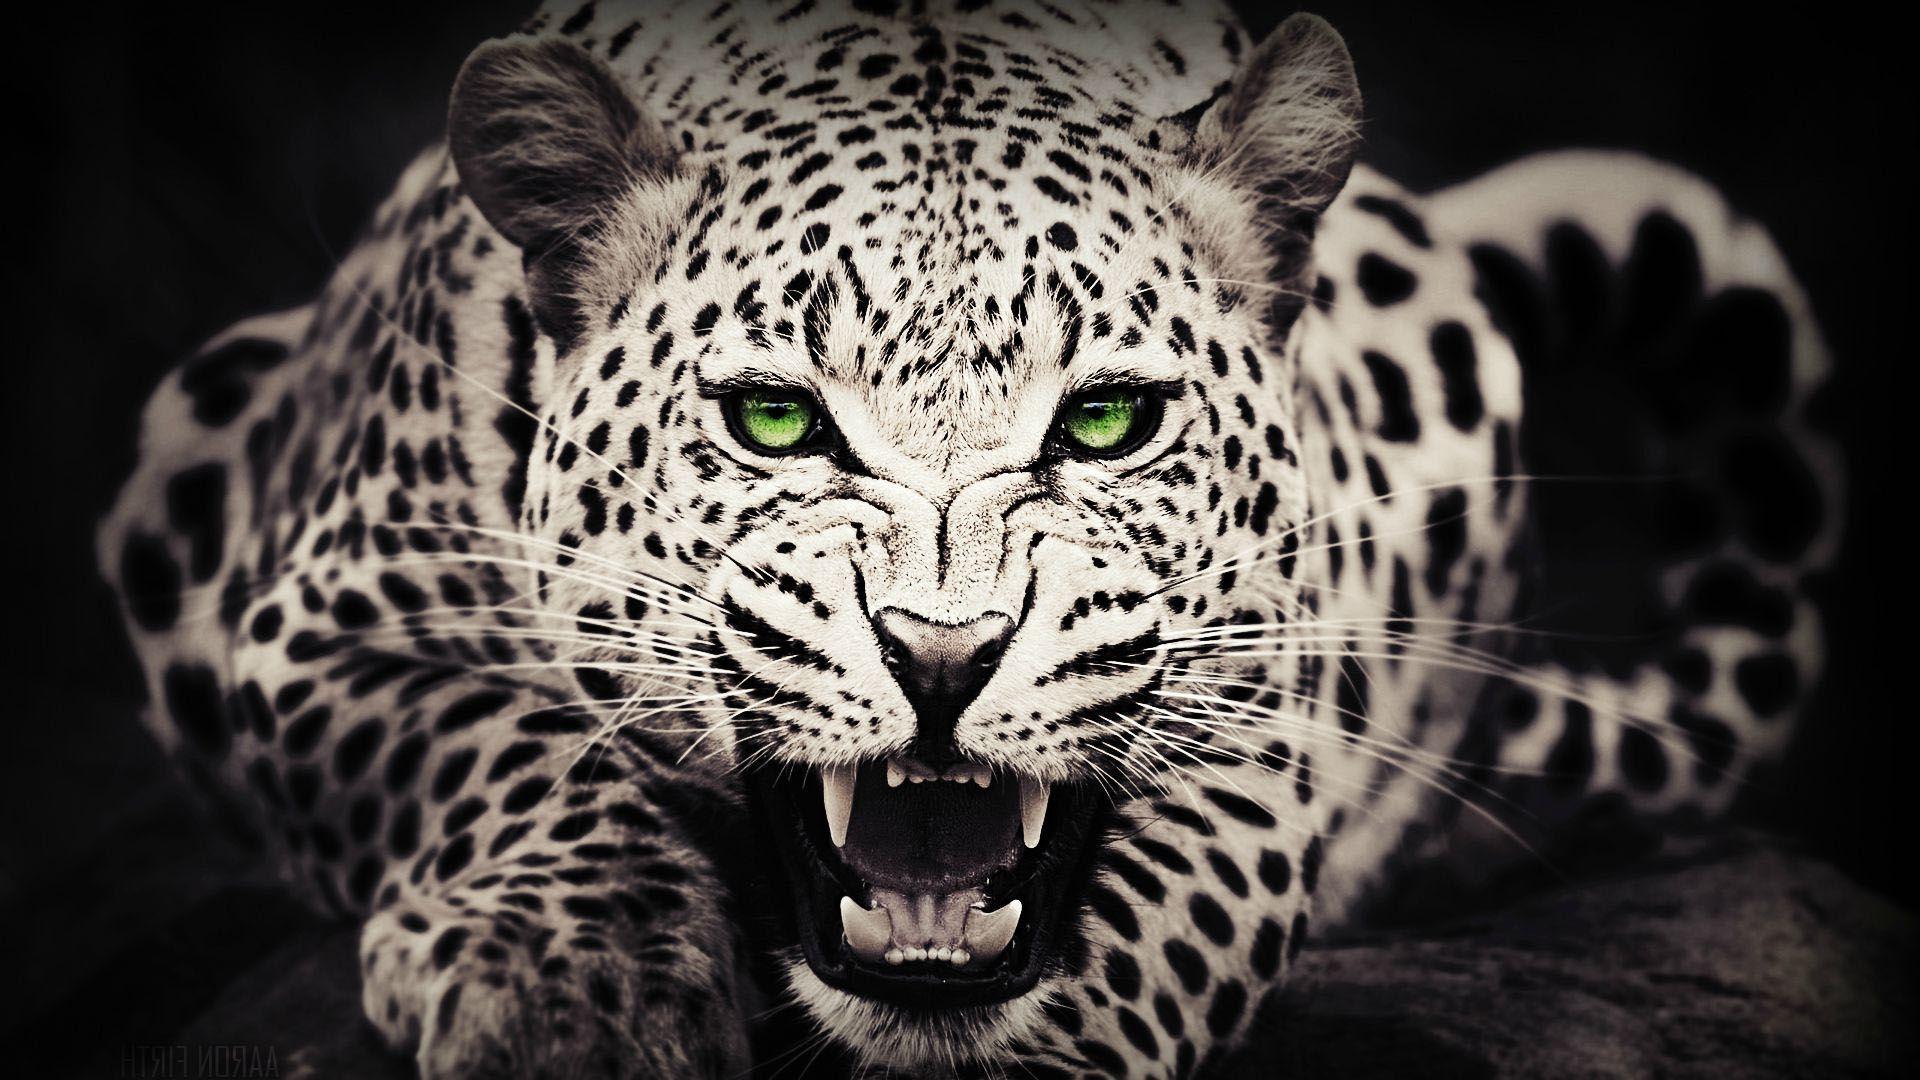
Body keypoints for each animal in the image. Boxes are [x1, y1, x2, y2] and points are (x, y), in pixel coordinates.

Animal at [97, 1, 1842, 1076]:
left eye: (1108, 422)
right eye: (777, 421)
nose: (944, 658)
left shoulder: (1268, 712)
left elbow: (1163, 912)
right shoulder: (312, 620)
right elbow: (490, 745)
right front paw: (569, 987)